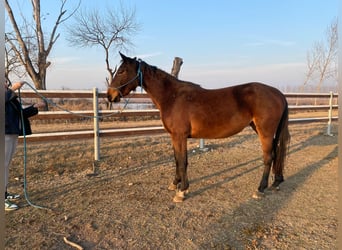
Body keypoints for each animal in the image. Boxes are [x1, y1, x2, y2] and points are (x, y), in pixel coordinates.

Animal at [107, 51, 288, 202]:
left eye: (122, 71)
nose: (110, 96)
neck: (172, 97)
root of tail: (278, 93)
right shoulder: (174, 136)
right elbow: (176, 159)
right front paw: (175, 184)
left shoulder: (180, 136)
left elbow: (182, 161)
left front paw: (182, 191)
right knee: (274, 154)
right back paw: (275, 182)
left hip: (265, 132)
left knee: (268, 157)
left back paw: (260, 189)